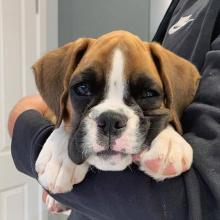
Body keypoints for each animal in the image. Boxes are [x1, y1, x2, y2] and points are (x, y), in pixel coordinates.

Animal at [33, 30, 200, 195]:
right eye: (83, 88)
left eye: (148, 94)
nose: (110, 121)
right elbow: (63, 122)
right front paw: (59, 158)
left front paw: (169, 142)